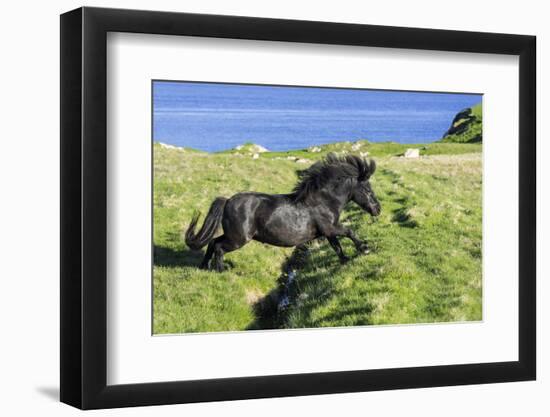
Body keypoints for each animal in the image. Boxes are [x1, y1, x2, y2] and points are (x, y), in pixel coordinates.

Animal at [185, 152, 380, 270]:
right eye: (367, 189)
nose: (377, 209)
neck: (323, 201)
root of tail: (227, 201)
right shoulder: (330, 227)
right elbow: (349, 231)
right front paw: (364, 248)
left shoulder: (327, 232)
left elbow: (337, 246)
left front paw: (345, 260)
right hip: (238, 239)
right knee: (218, 247)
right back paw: (220, 270)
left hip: (233, 235)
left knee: (212, 243)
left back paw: (204, 267)